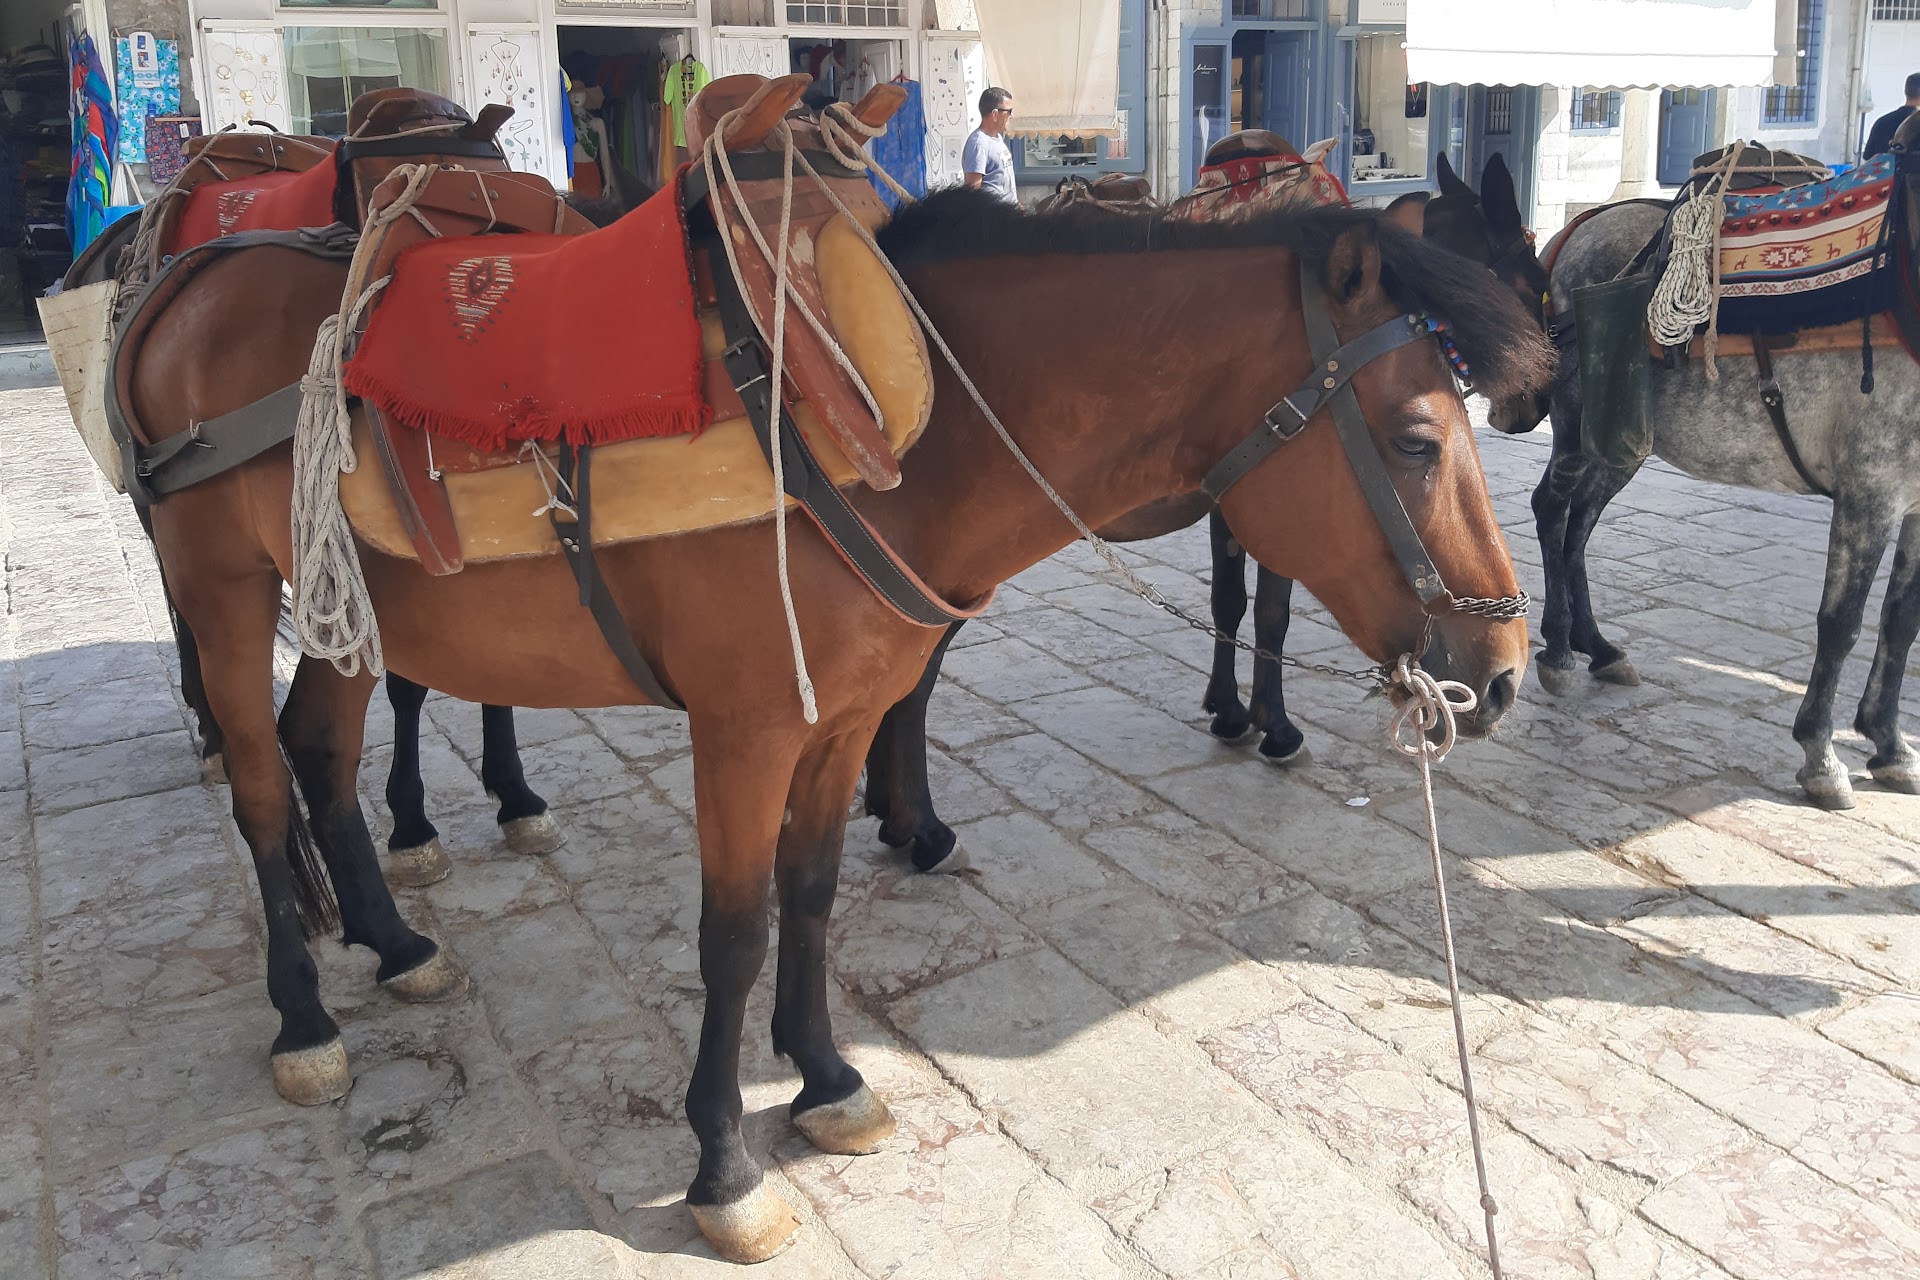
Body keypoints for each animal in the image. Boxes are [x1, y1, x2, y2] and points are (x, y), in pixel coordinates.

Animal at [128, 179, 1543, 1261]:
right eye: (1419, 439)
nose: (1504, 665)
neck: (875, 419)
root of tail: (188, 280)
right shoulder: (744, 729)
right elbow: (735, 932)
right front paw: (722, 1162)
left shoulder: (845, 714)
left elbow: (809, 896)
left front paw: (823, 1078)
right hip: (220, 588)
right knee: (259, 785)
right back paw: (305, 1017)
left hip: (345, 610)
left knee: (320, 748)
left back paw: (390, 938)